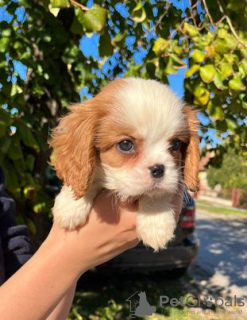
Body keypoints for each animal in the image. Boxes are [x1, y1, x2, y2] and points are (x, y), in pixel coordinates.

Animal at [49, 77, 200, 250]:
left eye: (175, 145)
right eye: (126, 144)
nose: (158, 169)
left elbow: (157, 192)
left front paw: (156, 224)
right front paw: (70, 206)